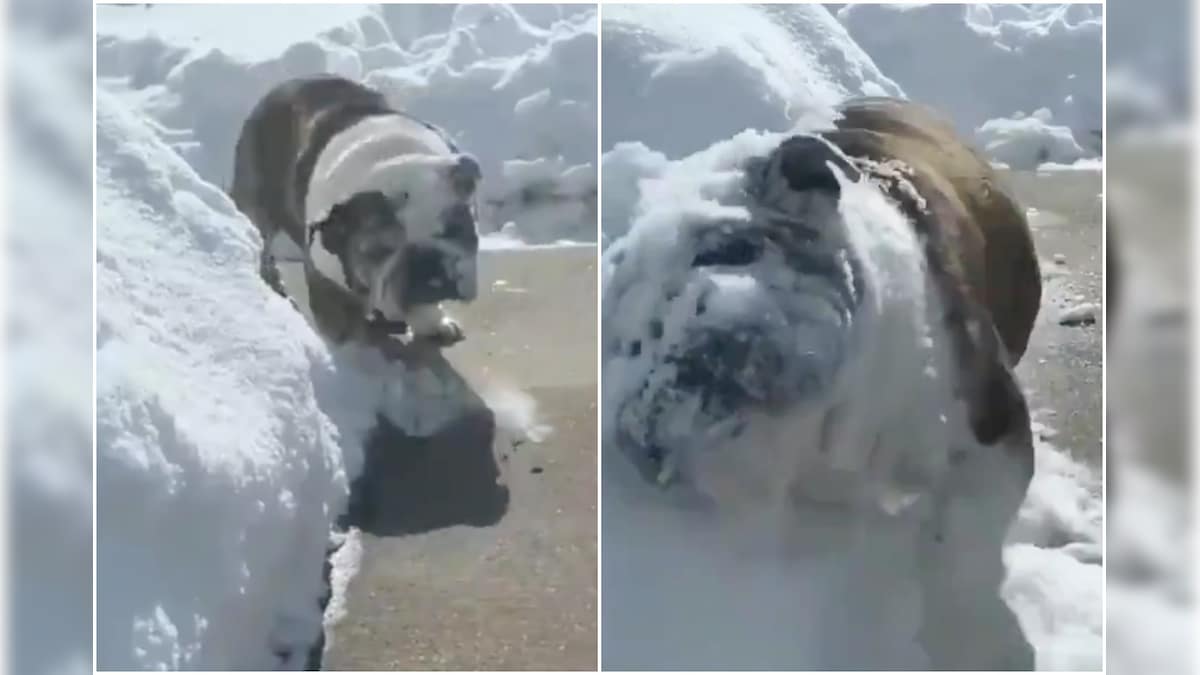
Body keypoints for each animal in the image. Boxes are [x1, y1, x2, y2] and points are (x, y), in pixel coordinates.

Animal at [231, 74, 480, 345]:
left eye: (456, 229)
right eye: (377, 250)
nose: (426, 264)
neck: (390, 161)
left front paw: (433, 323)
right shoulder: (324, 284)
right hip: (256, 203)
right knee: (262, 239)